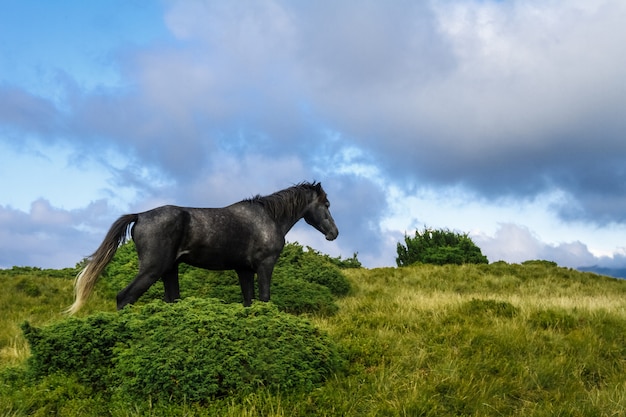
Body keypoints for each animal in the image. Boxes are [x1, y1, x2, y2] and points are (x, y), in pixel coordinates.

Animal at [66, 180, 338, 314]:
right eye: (326, 204)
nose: (334, 233)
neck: (267, 218)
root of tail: (141, 216)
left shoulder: (244, 271)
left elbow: (248, 302)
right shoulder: (264, 266)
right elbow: (264, 299)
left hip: (169, 270)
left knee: (171, 300)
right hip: (152, 269)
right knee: (125, 297)